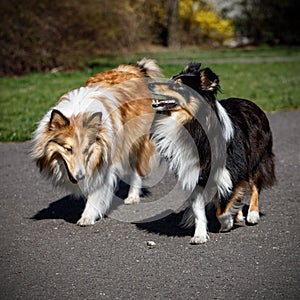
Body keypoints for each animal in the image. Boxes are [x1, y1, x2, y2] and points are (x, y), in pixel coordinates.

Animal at [31, 58, 163, 225]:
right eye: (68, 149)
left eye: (86, 149)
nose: (80, 176)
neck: (78, 113)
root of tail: (130, 69)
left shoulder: (105, 161)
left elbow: (97, 191)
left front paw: (87, 216)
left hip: (136, 141)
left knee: (137, 170)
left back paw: (132, 197)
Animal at [149, 62, 276, 244]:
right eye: (171, 78)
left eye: (178, 85)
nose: (149, 84)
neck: (192, 124)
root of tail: (251, 103)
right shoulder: (195, 174)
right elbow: (199, 211)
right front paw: (200, 235)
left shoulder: (231, 171)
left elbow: (221, 209)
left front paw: (226, 223)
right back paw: (238, 215)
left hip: (257, 160)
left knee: (255, 186)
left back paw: (252, 215)